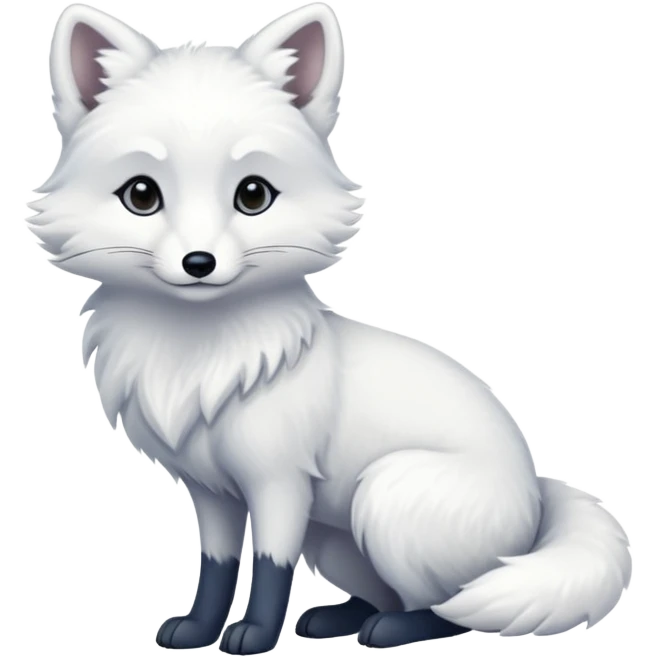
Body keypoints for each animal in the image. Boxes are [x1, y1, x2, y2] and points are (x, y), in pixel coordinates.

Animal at [28, 1, 633, 653]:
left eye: (253, 195)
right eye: (141, 195)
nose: (198, 263)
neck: (196, 354)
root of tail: (537, 500)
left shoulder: (279, 483)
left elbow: (269, 565)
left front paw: (255, 635)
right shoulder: (212, 491)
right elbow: (215, 567)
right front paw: (199, 629)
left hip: (384, 496)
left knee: (452, 605)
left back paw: (391, 629)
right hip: (332, 538)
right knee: (387, 593)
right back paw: (336, 618)